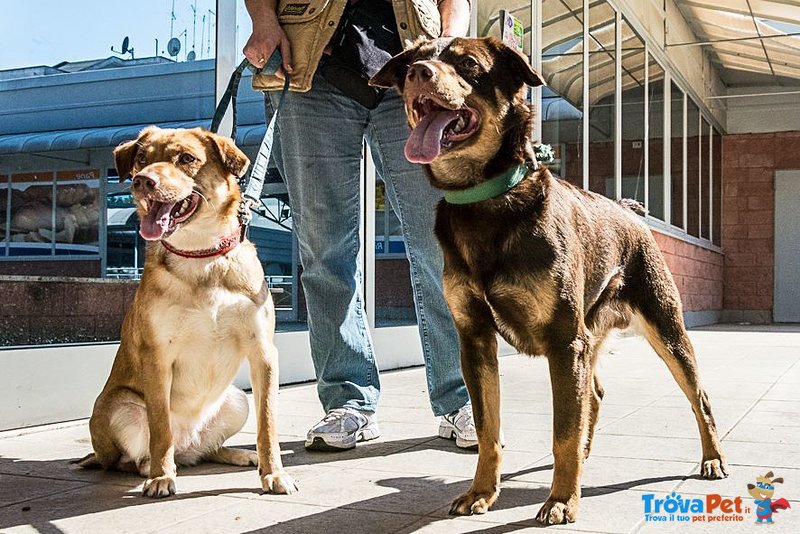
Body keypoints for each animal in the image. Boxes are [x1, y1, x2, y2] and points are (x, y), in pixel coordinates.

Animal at [79, 127, 296, 500]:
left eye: (186, 158)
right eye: (141, 158)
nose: (142, 180)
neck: (201, 255)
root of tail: (188, 446)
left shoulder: (263, 353)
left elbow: (267, 425)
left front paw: (273, 473)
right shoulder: (157, 356)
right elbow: (160, 427)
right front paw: (161, 476)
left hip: (236, 400)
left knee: (208, 449)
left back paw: (237, 454)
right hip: (118, 406)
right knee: (134, 458)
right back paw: (154, 469)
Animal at [372, 38, 728, 528]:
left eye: (468, 64)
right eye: (413, 59)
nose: (417, 74)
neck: (485, 200)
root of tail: (629, 213)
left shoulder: (563, 342)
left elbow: (563, 431)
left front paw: (561, 499)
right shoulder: (476, 340)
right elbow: (488, 429)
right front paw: (482, 491)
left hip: (665, 329)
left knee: (700, 397)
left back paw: (711, 459)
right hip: (590, 336)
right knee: (594, 396)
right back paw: (587, 454)